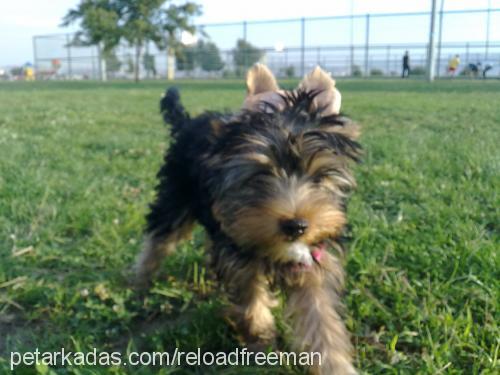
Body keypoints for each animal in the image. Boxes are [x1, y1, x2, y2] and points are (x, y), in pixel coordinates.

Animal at [135, 64, 362, 375]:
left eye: (318, 178)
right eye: (259, 175)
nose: (296, 226)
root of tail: (188, 123)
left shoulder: (314, 258)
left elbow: (321, 315)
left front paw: (334, 364)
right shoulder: (238, 251)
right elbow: (249, 292)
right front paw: (260, 334)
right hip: (176, 194)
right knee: (160, 235)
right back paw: (139, 279)